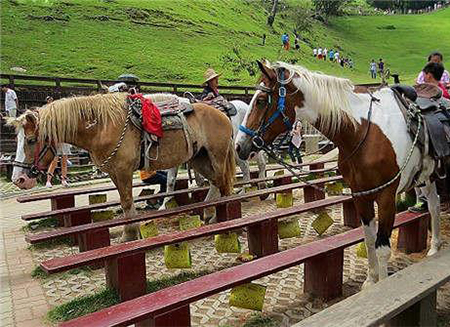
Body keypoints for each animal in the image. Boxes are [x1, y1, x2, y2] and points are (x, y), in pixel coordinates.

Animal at [237, 60, 442, 288]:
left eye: (261, 101)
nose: (239, 146)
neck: (364, 131)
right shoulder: (360, 194)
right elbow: (369, 240)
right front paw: (370, 281)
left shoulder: (387, 196)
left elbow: (382, 247)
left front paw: (382, 284)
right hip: (427, 178)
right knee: (434, 205)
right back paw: (434, 247)